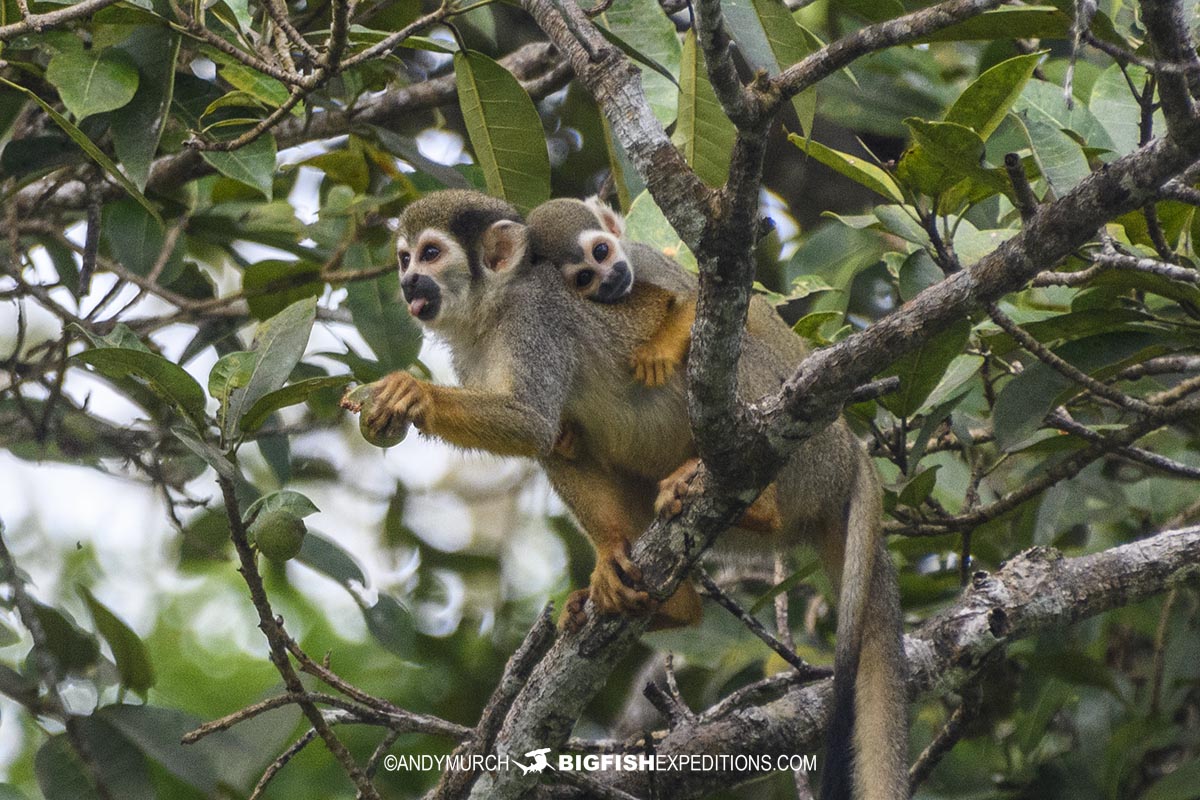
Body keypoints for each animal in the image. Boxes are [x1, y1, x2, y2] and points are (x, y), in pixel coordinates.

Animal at [353, 189, 907, 800]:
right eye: (404, 259)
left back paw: (750, 496)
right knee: (571, 445)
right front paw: (610, 554)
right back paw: (667, 598)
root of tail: (851, 454)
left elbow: (531, 423)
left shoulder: (535, 319)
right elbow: (555, 439)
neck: (491, 315)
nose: (409, 283)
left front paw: (411, 393)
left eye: (430, 254)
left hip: (806, 455)